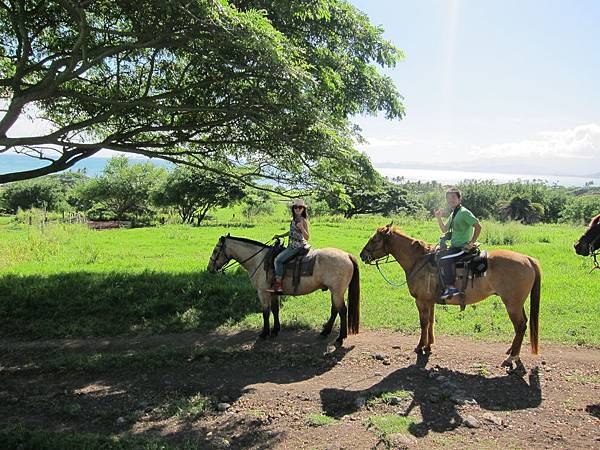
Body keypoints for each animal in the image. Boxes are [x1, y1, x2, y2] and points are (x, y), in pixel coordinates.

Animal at [209, 236, 358, 344]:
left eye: (216, 251)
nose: (209, 268)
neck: (259, 260)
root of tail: (347, 255)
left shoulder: (263, 293)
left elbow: (266, 313)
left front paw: (264, 333)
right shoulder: (274, 293)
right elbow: (275, 310)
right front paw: (275, 330)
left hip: (337, 292)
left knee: (342, 311)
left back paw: (340, 337)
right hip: (335, 292)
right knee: (335, 310)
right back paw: (325, 331)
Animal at [360, 223, 544, 370]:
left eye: (374, 239)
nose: (362, 255)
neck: (419, 261)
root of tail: (528, 259)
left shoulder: (421, 301)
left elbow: (423, 323)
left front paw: (420, 346)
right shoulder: (430, 301)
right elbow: (430, 322)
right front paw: (429, 345)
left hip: (512, 304)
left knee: (520, 326)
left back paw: (511, 357)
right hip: (517, 304)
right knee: (523, 324)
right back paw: (511, 351)